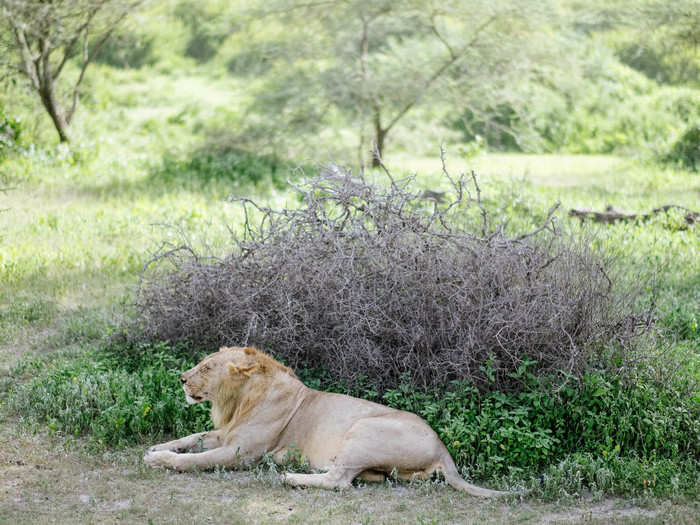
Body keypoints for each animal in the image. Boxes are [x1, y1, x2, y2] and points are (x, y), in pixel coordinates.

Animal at [144, 346, 504, 498]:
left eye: (206, 368)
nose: (181, 379)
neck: (240, 400)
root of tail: (444, 449)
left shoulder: (241, 452)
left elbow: (193, 460)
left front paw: (161, 460)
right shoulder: (226, 434)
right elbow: (192, 438)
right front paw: (156, 448)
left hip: (362, 430)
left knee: (339, 481)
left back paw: (289, 476)